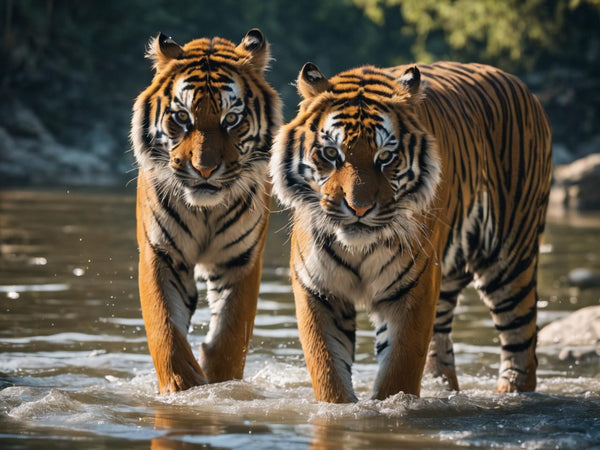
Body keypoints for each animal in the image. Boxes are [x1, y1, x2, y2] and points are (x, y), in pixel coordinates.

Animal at [131, 29, 282, 394]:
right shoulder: (161, 253)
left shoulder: (239, 260)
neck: (205, 211)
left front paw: (220, 385)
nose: (204, 169)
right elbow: (165, 328)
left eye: (231, 119)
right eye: (182, 117)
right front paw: (181, 386)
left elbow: (230, 335)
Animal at [270, 61, 552, 402]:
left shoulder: (414, 289)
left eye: (385, 157)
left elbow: (399, 371)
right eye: (331, 154)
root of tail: (520, 84)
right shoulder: (318, 290)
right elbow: (327, 369)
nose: (359, 208)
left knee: (521, 347)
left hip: (509, 261)